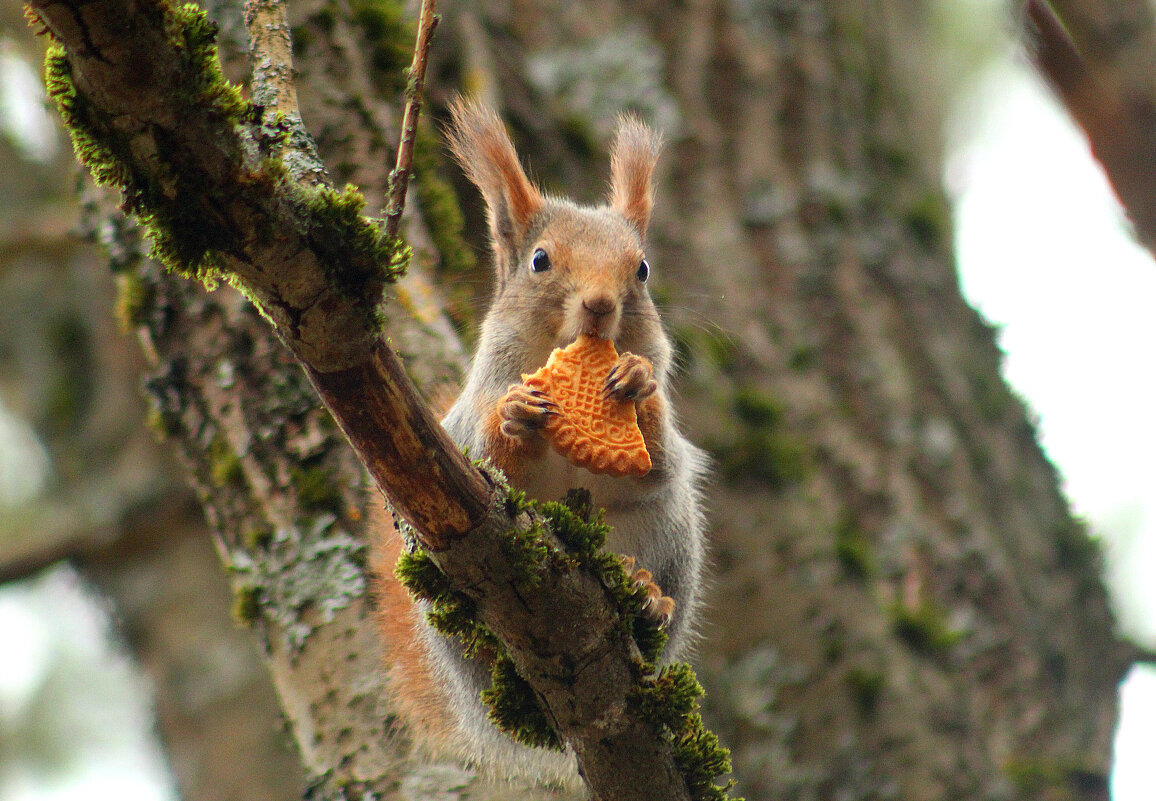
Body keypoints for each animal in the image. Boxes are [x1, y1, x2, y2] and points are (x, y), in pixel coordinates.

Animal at [374, 98, 707, 781]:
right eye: (540, 262)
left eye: (642, 269)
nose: (600, 304)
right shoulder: (468, 425)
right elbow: (491, 465)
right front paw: (517, 413)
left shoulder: (660, 461)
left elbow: (659, 463)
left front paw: (639, 382)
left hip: (669, 534)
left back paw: (648, 597)